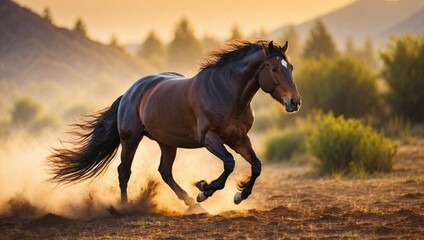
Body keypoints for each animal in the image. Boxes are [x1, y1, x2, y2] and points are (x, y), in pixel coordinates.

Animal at [48, 40, 302, 211]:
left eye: (290, 68)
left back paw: (192, 204)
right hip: (131, 140)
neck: (226, 93)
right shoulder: (210, 138)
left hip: (167, 143)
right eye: (274, 68)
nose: (294, 102)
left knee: (165, 172)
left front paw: (238, 195)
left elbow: (257, 166)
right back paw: (126, 207)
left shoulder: (239, 139)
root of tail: (130, 92)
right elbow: (229, 163)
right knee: (124, 172)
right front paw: (204, 189)